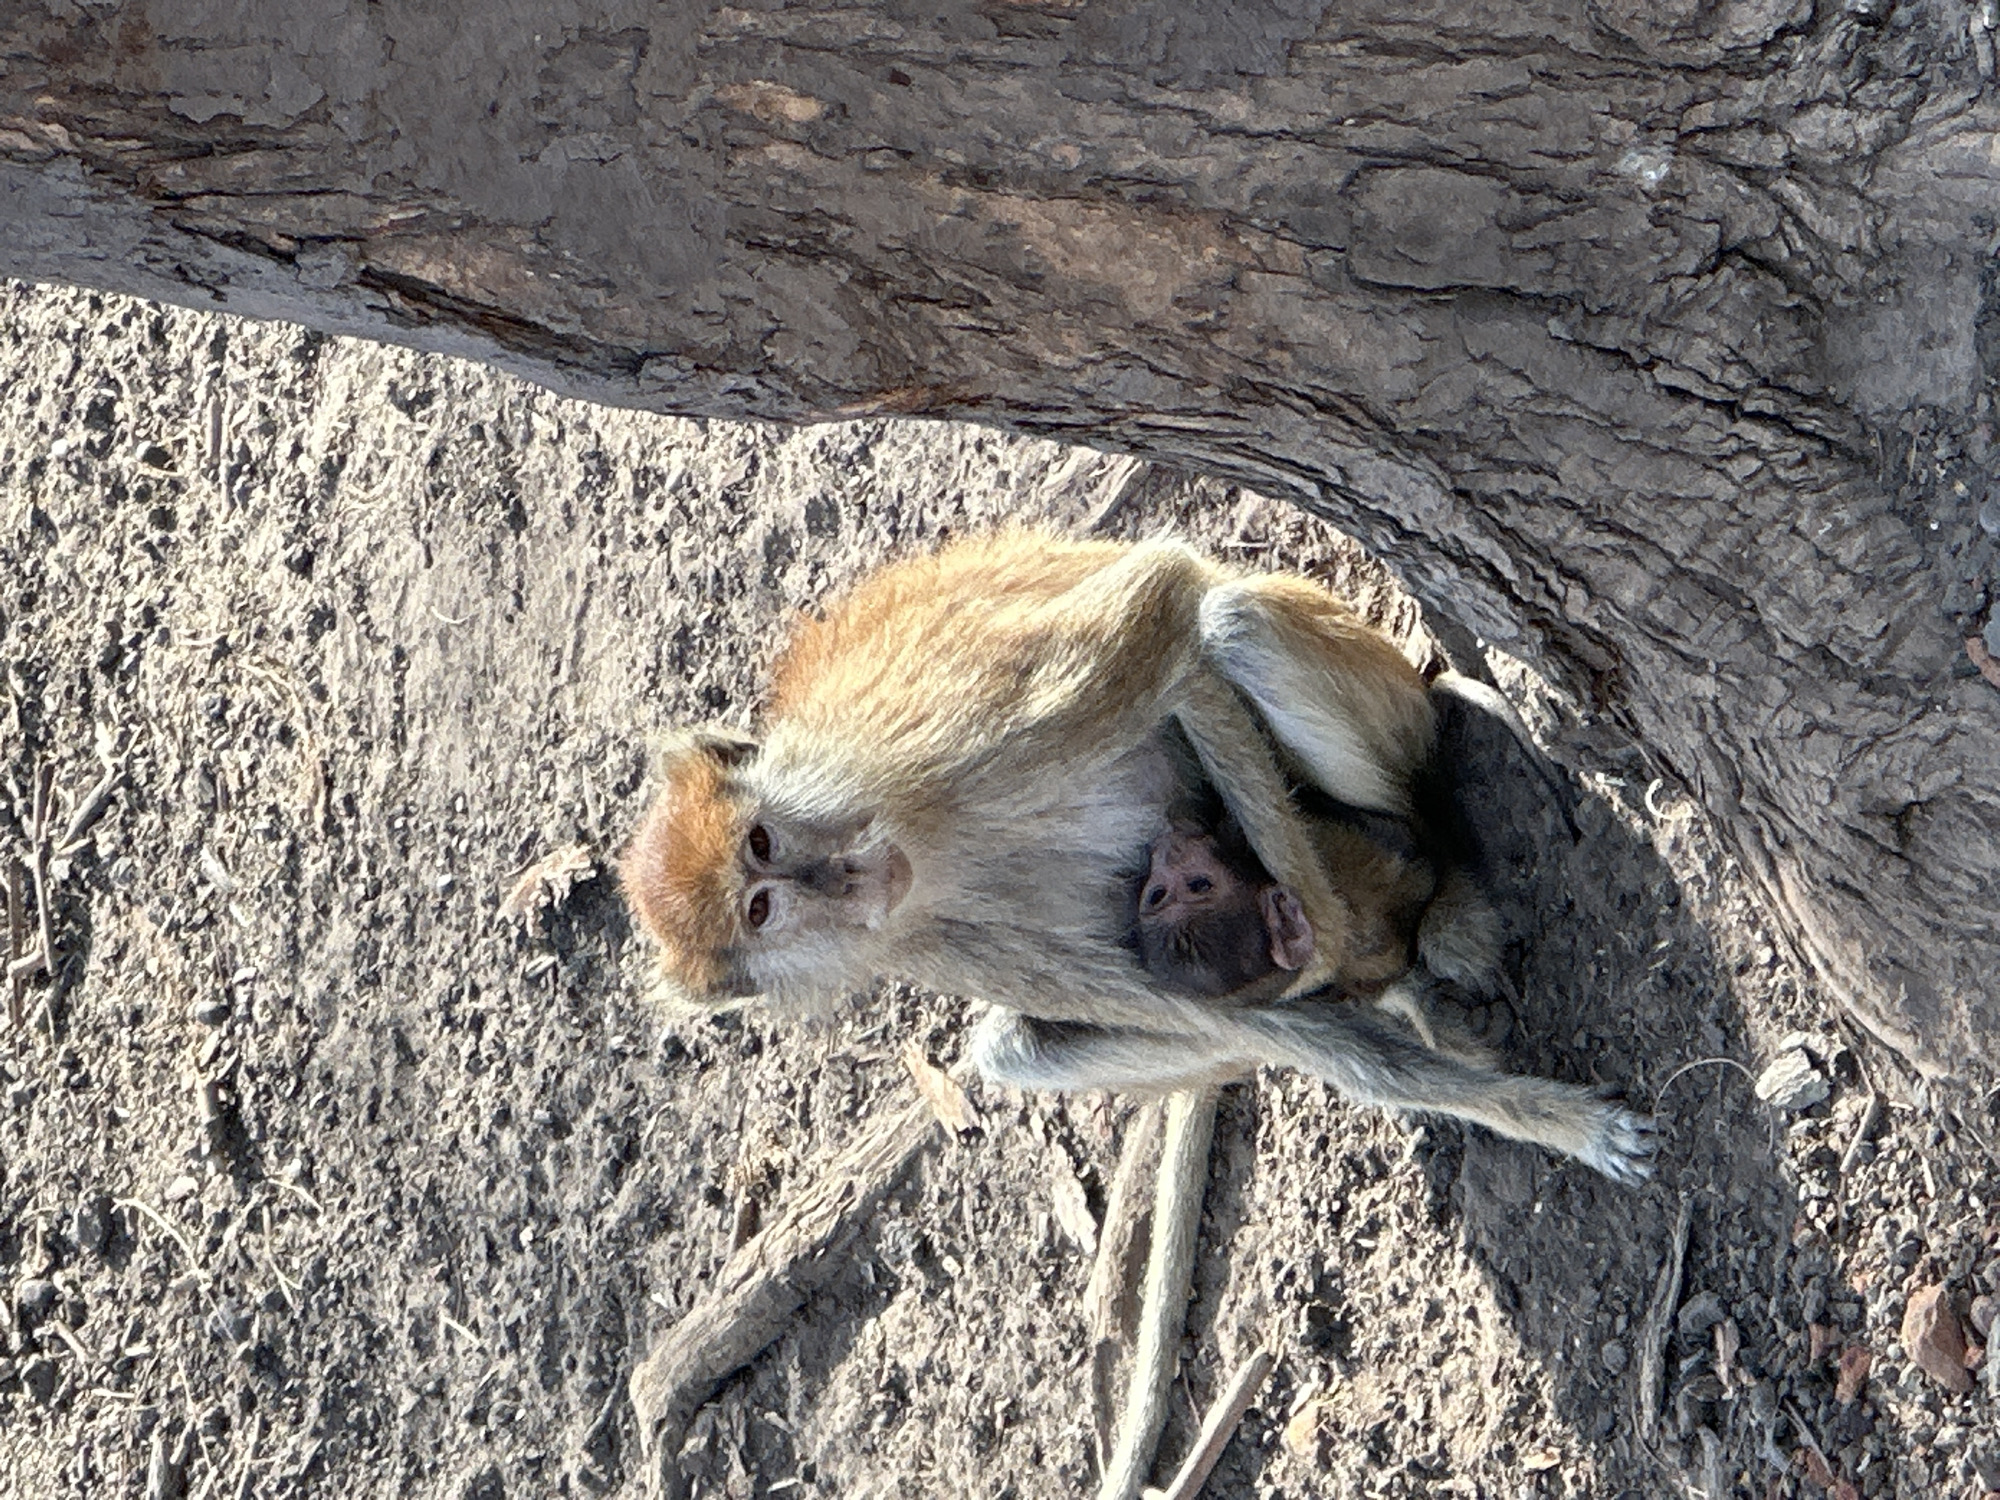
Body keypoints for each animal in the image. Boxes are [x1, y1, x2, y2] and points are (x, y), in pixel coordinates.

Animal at [620, 530, 1652, 1185]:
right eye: (760, 911)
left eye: (762, 846)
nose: (834, 878)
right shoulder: (928, 939)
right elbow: (1258, 1025)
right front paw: (1558, 1120)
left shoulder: (929, 750)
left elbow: (1160, 612)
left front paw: (1322, 944)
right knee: (1017, 1047)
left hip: (1366, 674)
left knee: (1227, 615)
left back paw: (1429, 848)